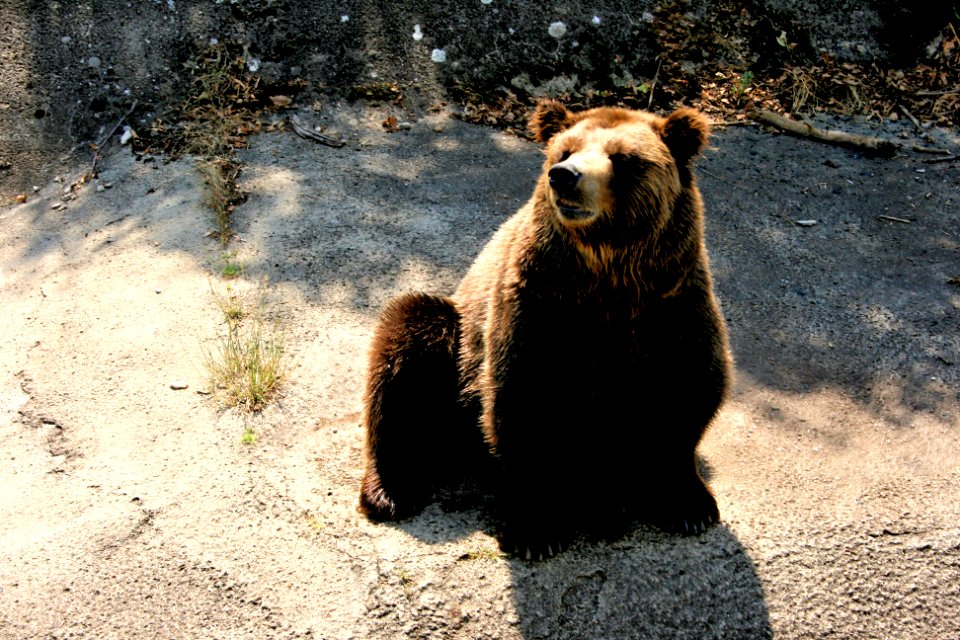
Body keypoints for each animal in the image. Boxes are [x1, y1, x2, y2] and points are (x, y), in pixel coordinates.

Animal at [358, 100, 728, 560]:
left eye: (622, 158)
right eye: (565, 150)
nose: (564, 175)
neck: (609, 278)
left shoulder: (672, 302)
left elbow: (688, 391)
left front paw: (690, 505)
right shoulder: (540, 304)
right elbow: (524, 401)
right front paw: (535, 530)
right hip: (455, 349)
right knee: (406, 341)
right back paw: (389, 490)